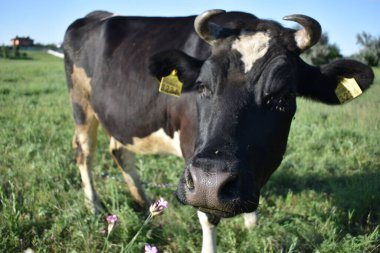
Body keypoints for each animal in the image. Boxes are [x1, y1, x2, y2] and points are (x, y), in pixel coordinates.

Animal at [63, 9, 374, 253]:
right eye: (202, 86)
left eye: (283, 96)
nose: (212, 182)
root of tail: (94, 16)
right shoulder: (194, 160)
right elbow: (208, 215)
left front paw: (251, 225)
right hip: (81, 105)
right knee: (84, 154)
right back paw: (94, 207)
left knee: (119, 151)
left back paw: (145, 201)